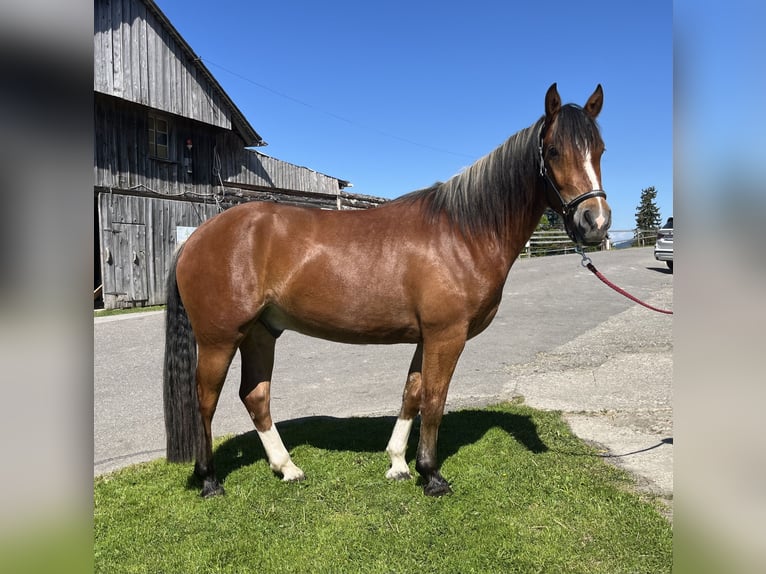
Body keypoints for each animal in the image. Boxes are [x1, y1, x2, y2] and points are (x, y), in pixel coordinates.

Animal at [163, 83, 611, 498]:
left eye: (600, 150)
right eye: (553, 151)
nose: (595, 222)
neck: (463, 232)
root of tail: (197, 238)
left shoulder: (427, 337)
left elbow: (412, 393)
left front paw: (399, 463)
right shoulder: (447, 335)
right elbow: (434, 399)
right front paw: (432, 475)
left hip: (260, 333)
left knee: (255, 396)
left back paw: (287, 468)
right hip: (220, 339)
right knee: (205, 400)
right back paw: (210, 480)